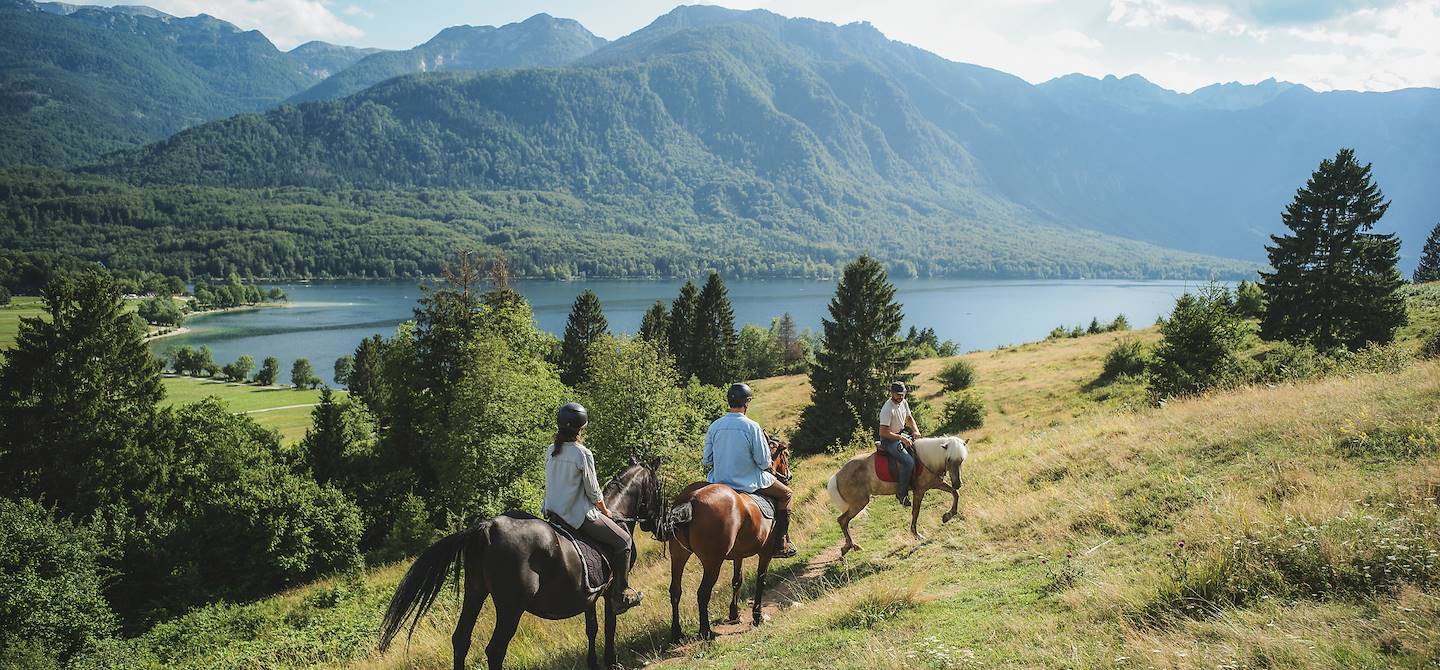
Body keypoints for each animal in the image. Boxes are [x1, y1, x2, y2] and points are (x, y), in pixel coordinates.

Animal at [374, 458, 659, 668]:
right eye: (657, 487)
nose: (654, 524)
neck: (616, 514)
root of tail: (487, 527)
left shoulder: (591, 594)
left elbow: (593, 628)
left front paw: (593, 663)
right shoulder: (610, 591)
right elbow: (610, 625)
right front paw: (611, 661)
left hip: (475, 591)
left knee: (461, 640)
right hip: (511, 607)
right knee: (495, 650)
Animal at [665, 432, 794, 636]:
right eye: (786, 455)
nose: (789, 476)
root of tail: (691, 500)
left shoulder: (738, 554)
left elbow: (737, 580)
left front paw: (734, 613)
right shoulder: (765, 552)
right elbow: (761, 580)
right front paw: (757, 616)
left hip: (678, 555)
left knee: (675, 591)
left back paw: (677, 632)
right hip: (712, 561)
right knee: (703, 592)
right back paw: (705, 631)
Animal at [823, 432, 967, 553]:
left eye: (961, 460)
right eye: (948, 459)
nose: (958, 483)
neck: (925, 460)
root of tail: (837, 475)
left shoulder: (935, 483)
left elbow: (955, 493)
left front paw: (948, 515)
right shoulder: (920, 490)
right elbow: (916, 512)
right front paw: (917, 535)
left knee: (843, 521)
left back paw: (850, 546)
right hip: (859, 503)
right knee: (842, 520)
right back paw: (850, 546)